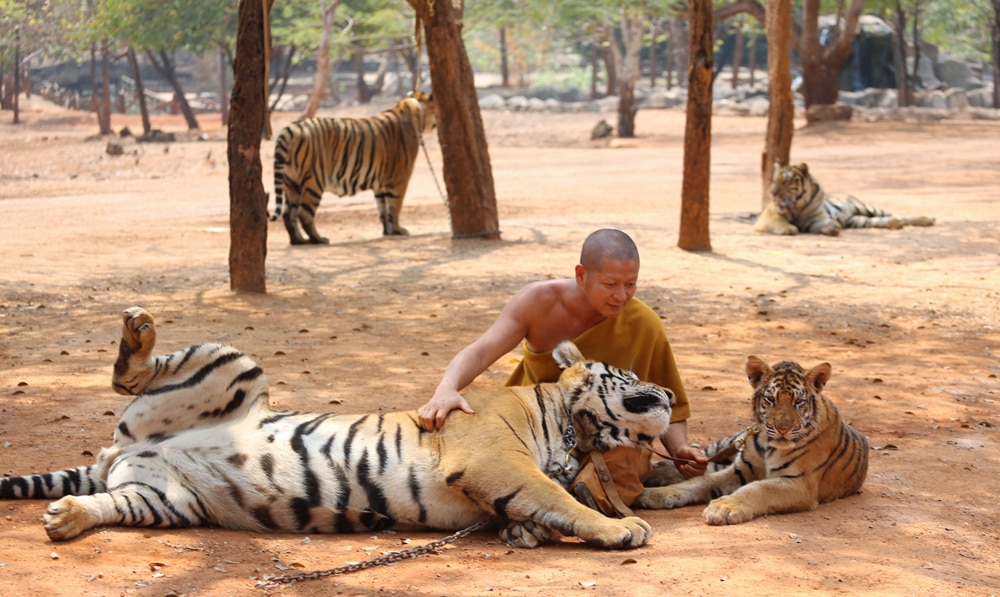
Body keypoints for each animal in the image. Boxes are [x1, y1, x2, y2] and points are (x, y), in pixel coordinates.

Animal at [1, 308, 672, 548]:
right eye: (632, 374)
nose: (667, 391)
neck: (576, 430)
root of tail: (125, 449)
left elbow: (540, 505)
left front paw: (524, 533)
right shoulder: (493, 458)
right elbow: (558, 496)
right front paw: (624, 528)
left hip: (164, 499)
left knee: (108, 503)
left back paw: (66, 518)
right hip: (231, 363)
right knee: (133, 372)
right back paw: (138, 331)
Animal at [272, 91, 436, 244]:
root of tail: (290, 128)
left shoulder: (381, 184)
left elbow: (382, 209)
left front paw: (387, 231)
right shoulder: (399, 179)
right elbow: (395, 207)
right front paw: (398, 230)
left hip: (291, 183)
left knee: (288, 214)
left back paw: (298, 240)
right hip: (314, 181)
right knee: (304, 214)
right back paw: (319, 239)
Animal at [640, 356, 868, 524]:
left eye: (798, 402)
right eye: (771, 399)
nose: (783, 428)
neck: (769, 445)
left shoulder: (800, 483)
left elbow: (758, 489)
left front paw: (724, 508)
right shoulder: (740, 469)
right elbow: (699, 481)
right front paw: (653, 494)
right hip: (729, 443)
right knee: (697, 460)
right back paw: (655, 471)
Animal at [756, 163, 936, 237]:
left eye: (785, 182)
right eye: (774, 180)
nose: (771, 193)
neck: (799, 204)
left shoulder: (815, 218)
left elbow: (823, 223)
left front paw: (832, 227)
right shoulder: (769, 215)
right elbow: (779, 221)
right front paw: (788, 228)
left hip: (867, 208)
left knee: (898, 215)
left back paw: (927, 219)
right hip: (858, 220)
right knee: (889, 219)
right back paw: (895, 223)